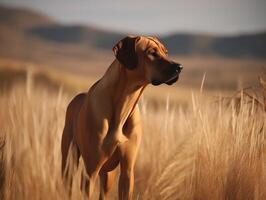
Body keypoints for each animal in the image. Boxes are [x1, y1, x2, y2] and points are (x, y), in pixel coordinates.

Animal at [61, 35, 183, 199]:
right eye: (152, 53)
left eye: (166, 52)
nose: (179, 67)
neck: (124, 106)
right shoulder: (90, 173)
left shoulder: (127, 171)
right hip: (69, 163)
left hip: (108, 174)